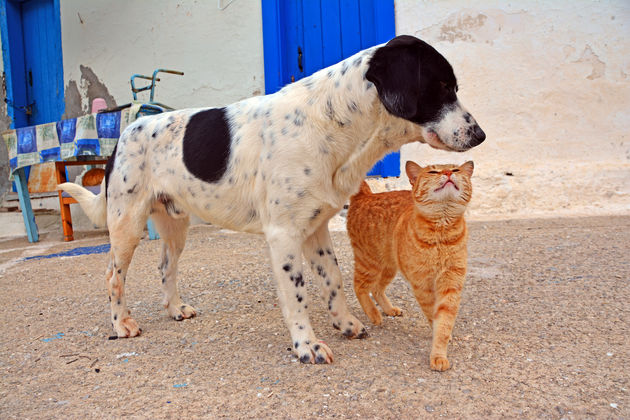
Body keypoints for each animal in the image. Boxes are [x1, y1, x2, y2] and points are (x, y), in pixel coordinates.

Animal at [348, 160, 476, 370]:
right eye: (433, 171)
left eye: (455, 169)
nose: (448, 173)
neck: (441, 232)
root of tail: (366, 195)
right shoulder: (422, 285)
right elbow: (434, 316)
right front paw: (437, 350)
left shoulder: (450, 284)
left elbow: (445, 321)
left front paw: (440, 351)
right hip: (369, 263)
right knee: (359, 286)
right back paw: (374, 314)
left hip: (389, 267)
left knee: (377, 289)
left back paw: (389, 309)